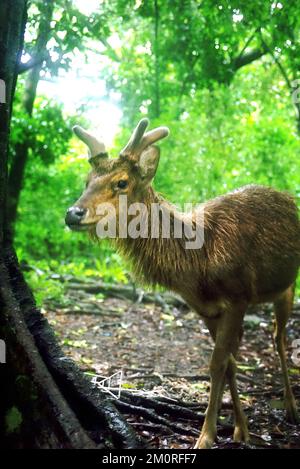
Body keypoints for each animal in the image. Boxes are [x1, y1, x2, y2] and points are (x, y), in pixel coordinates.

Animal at [66, 117, 300, 446]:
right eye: (87, 181)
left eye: (122, 182)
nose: (73, 213)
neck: (197, 265)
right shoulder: (206, 309)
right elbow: (228, 364)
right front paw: (240, 429)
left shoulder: (238, 297)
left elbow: (216, 364)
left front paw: (207, 436)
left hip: (287, 287)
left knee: (279, 338)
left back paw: (291, 407)